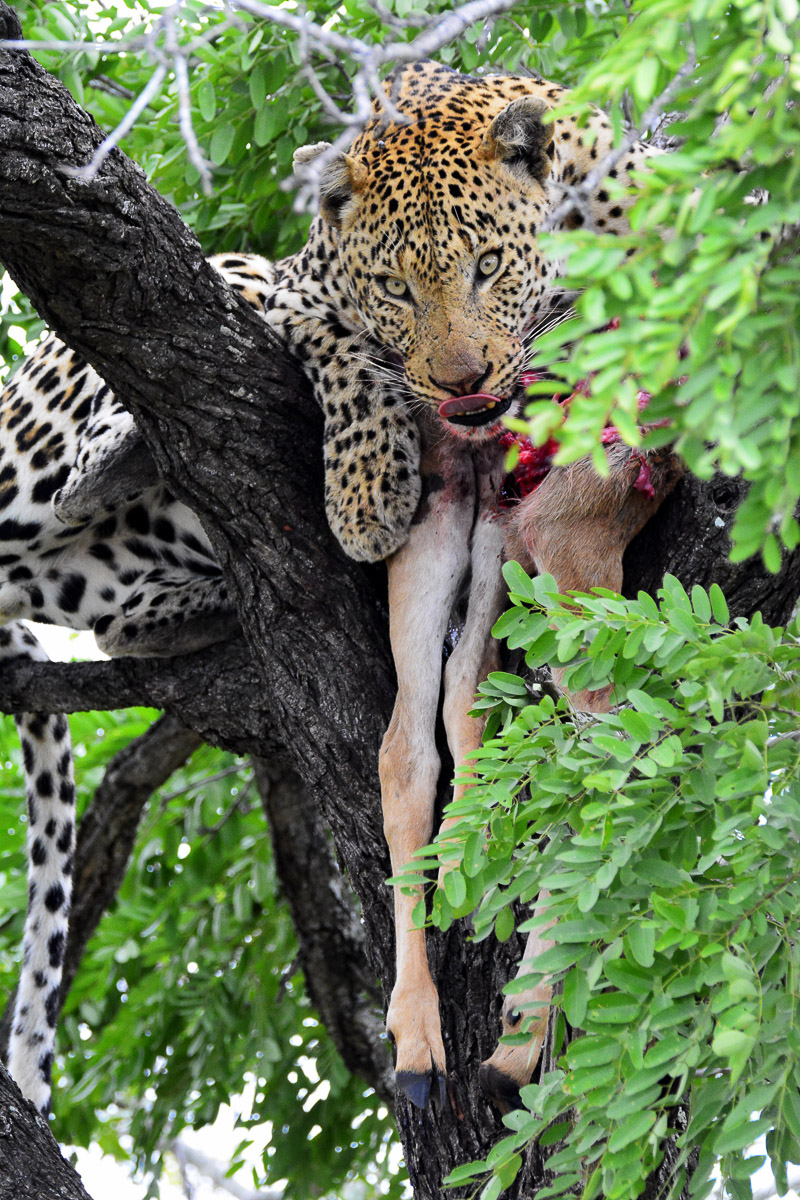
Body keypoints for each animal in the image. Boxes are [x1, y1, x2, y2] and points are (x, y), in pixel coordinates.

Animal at [2, 58, 660, 1115]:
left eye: (487, 266)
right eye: (395, 285)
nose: (464, 383)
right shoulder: (310, 296)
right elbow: (339, 355)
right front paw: (365, 489)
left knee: (468, 721)